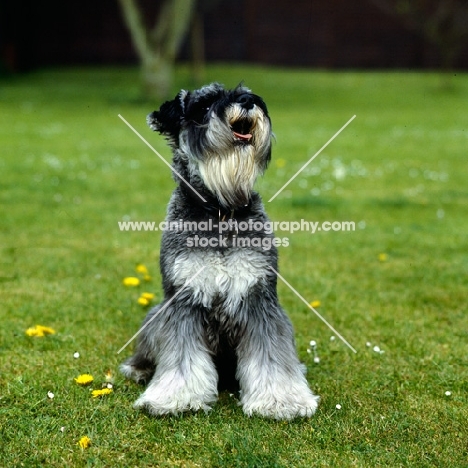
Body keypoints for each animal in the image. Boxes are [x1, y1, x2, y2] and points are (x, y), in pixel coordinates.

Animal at [119, 82, 320, 418]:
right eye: (204, 105)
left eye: (245, 91)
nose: (248, 101)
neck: (221, 211)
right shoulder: (182, 300)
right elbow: (181, 357)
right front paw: (175, 397)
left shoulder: (259, 297)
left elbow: (271, 357)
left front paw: (281, 400)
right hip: (155, 314)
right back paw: (138, 369)